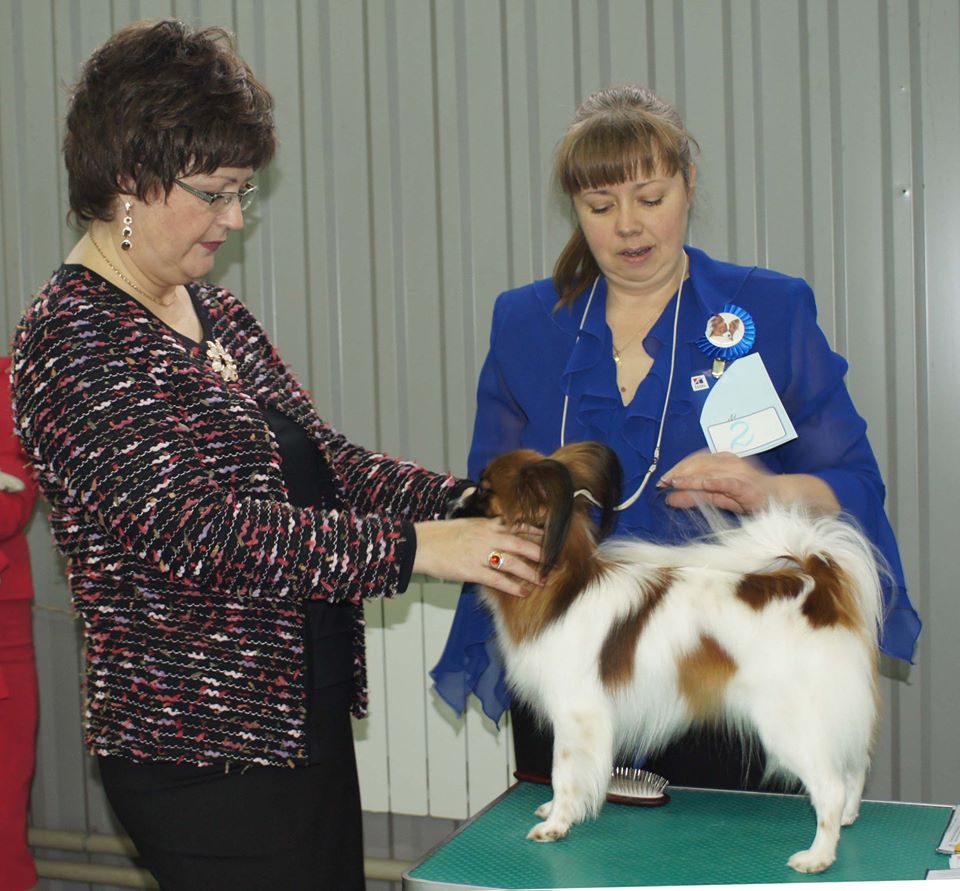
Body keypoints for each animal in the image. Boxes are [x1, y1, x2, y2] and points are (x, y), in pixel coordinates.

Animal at [450, 442, 883, 874]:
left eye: (485, 491)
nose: (454, 498)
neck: (562, 592)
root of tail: (816, 592)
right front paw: (556, 810)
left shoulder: (576, 716)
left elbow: (563, 772)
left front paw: (557, 824)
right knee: (855, 766)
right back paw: (848, 817)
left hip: (790, 725)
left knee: (829, 786)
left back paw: (819, 855)